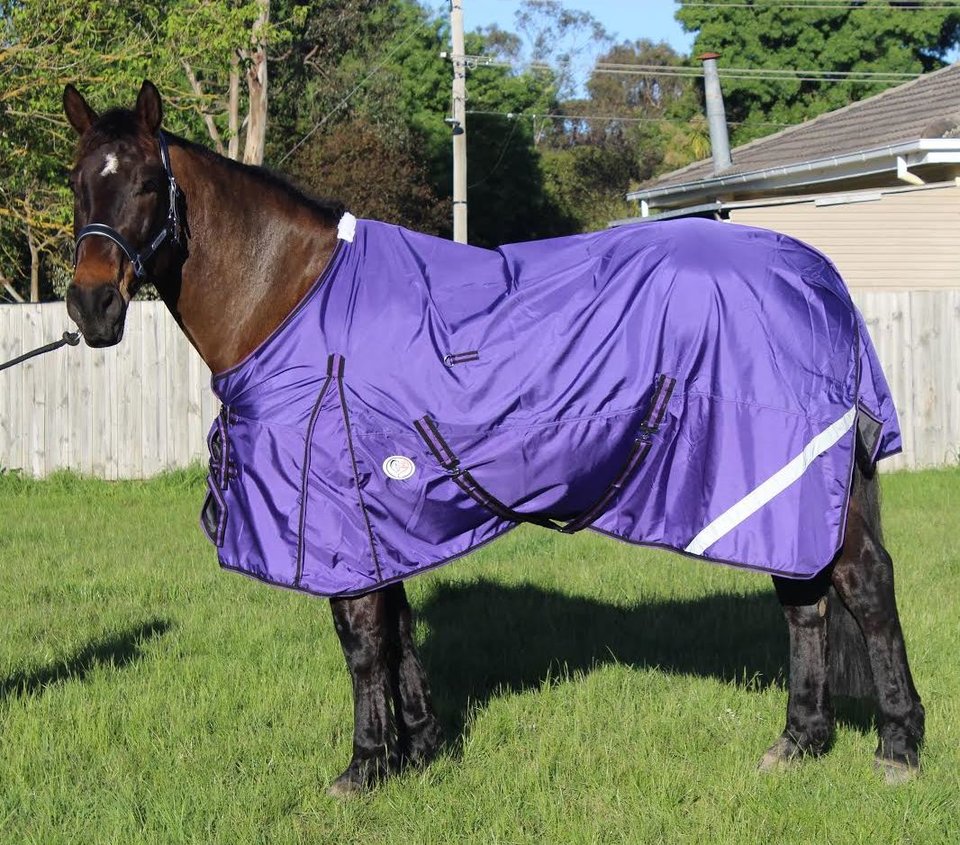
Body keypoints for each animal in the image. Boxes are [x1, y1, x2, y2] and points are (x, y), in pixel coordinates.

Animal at [62, 80, 924, 795]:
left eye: (146, 183)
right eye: (77, 183)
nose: (90, 306)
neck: (296, 299)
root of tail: (815, 274)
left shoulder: (339, 513)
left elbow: (362, 639)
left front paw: (365, 765)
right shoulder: (386, 518)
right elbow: (400, 628)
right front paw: (422, 748)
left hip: (799, 480)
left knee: (865, 586)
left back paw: (898, 747)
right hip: (780, 496)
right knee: (805, 598)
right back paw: (800, 741)